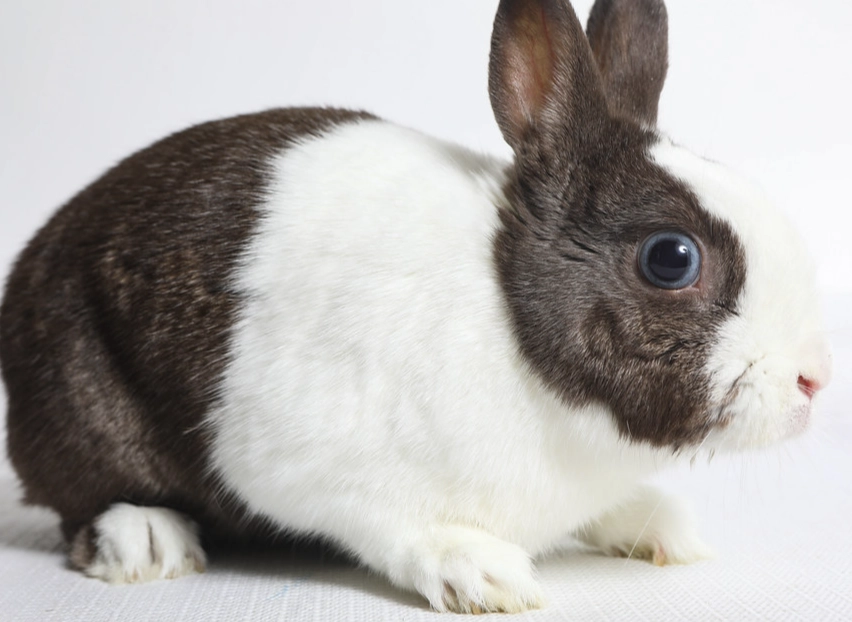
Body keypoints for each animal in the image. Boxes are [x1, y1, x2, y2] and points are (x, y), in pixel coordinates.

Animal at [0, 0, 832, 614]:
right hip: (79, 399)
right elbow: (394, 527)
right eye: (671, 258)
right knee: (80, 502)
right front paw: (483, 574)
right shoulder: (315, 466)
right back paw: (146, 542)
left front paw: (661, 528)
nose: (813, 383)